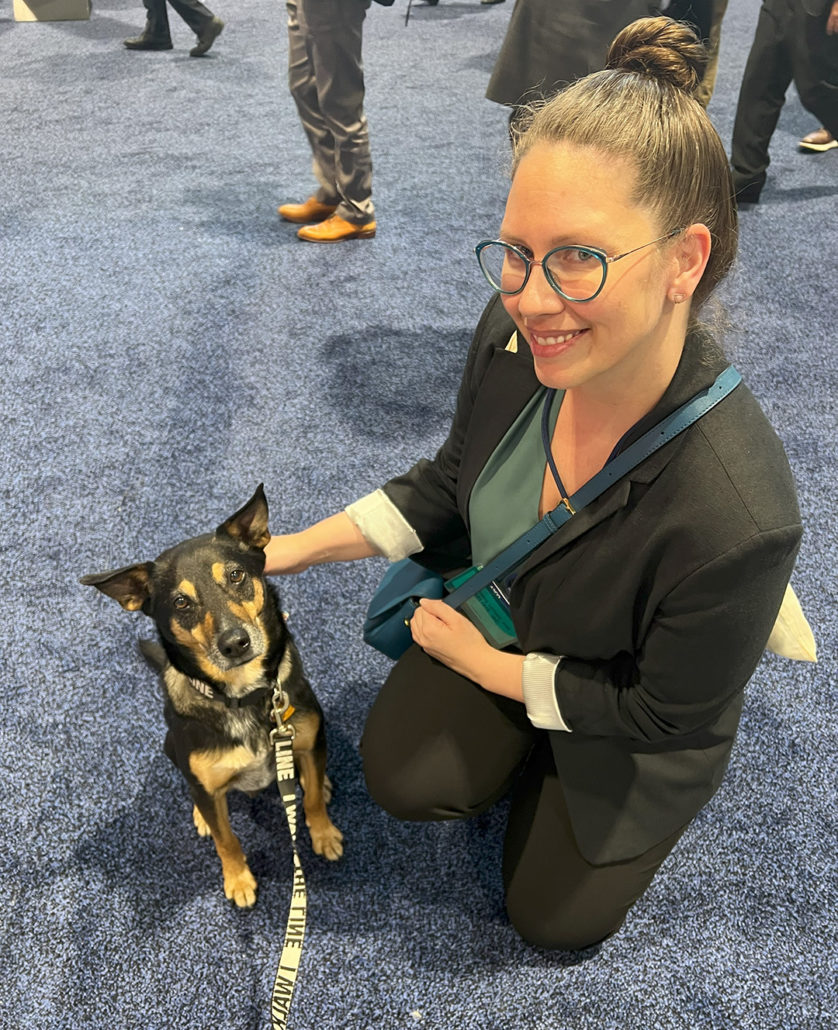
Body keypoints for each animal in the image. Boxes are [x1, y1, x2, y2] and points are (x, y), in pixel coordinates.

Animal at [78, 486, 341, 906]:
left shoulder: (305, 737)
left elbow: (313, 798)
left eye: (236, 575)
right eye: (181, 602)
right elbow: (226, 838)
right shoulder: (207, 786)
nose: (235, 643)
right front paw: (238, 879)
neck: (244, 695)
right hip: (172, 748)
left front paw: (324, 833)